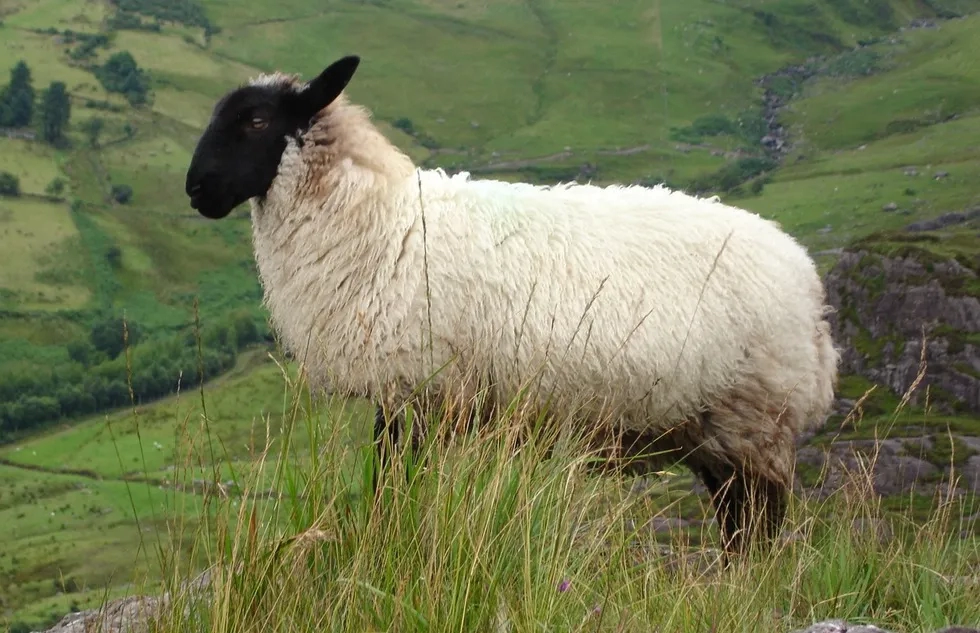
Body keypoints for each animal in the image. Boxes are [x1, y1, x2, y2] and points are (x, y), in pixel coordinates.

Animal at [184, 55, 840, 557]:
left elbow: (393, 486)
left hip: (753, 417)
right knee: (738, 523)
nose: (195, 191)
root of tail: (808, 285)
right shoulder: (414, 396)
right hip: (713, 428)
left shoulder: (419, 386)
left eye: (257, 120)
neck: (379, 221)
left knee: (756, 529)